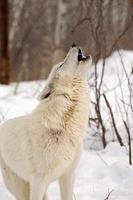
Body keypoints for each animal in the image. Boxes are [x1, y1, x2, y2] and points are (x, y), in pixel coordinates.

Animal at [0, 45, 91, 200]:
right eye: (61, 65)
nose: (74, 45)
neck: (63, 124)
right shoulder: (38, 180)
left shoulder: (68, 175)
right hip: (17, 186)